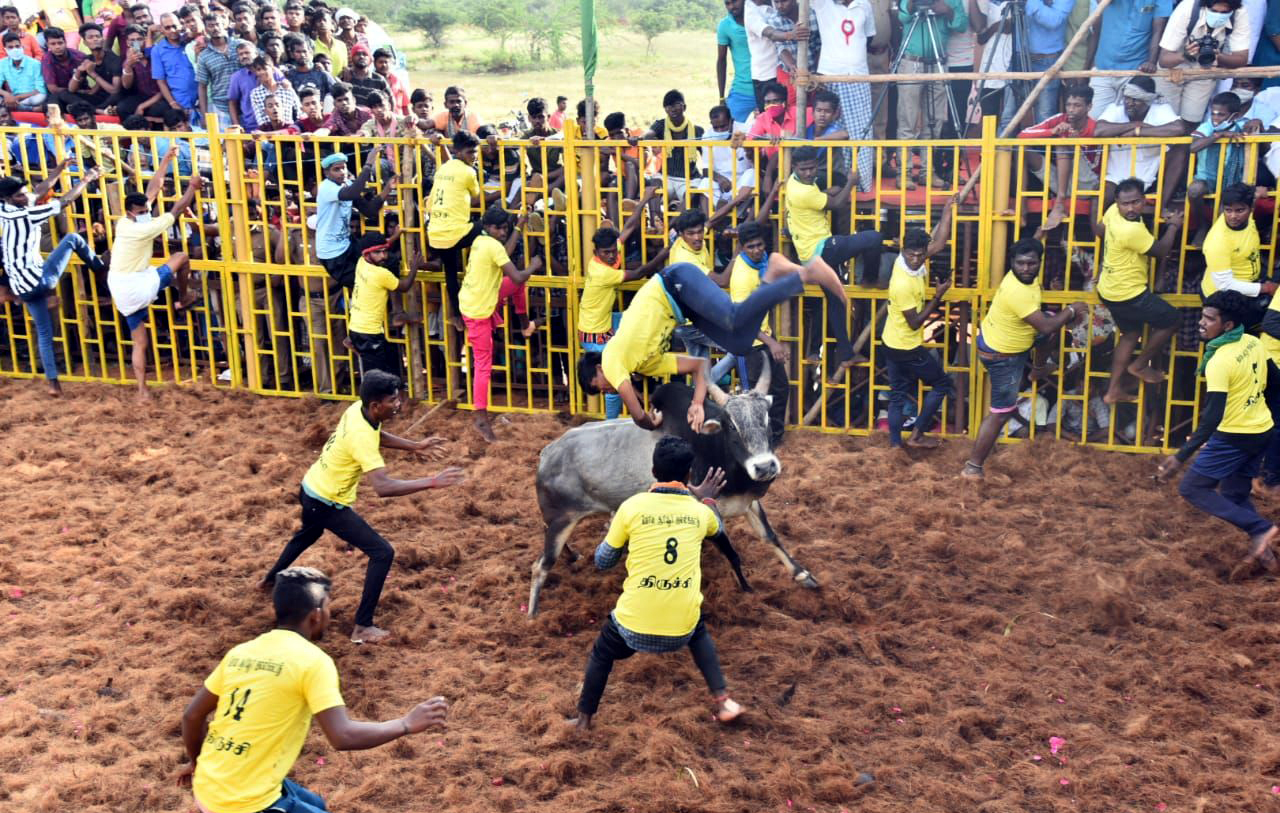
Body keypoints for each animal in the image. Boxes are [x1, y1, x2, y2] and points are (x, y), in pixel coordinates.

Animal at [529, 355, 819, 617]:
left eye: (767, 420)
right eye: (731, 426)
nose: (765, 467)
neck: (712, 448)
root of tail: (548, 453)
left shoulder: (749, 502)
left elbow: (770, 536)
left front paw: (803, 574)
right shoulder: (709, 510)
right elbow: (732, 554)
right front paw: (747, 589)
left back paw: (572, 557)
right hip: (561, 519)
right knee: (541, 565)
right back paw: (533, 614)